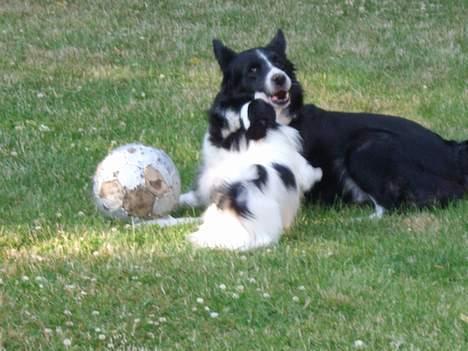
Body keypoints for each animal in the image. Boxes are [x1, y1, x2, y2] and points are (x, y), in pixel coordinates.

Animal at [182, 31, 468, 217]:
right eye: (253, 70)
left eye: (280, 64)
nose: (280, 78)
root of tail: (452, 151)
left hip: (367, 146)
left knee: (391, 205)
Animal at [186, 100, 322, 252]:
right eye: (262, 106)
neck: (263, 138)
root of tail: (233, 198)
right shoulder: (301, 168)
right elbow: (311, 174)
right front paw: (320, 172)